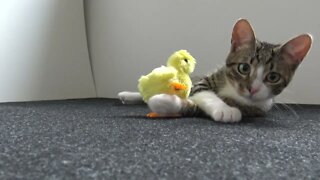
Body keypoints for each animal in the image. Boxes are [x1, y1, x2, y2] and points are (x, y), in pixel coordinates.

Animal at [118, 19, 312, 122]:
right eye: (244, 68)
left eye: (273, 77)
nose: (252, 88)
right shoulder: (205, 81)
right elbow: (204, 92)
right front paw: (224, 108)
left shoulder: (259, 107)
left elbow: (192, 106)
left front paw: (163, 101)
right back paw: (127, 94)